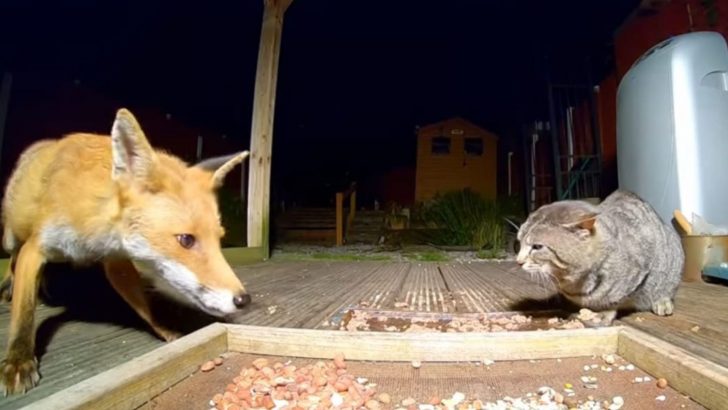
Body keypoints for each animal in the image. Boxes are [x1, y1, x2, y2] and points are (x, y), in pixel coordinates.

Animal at [0, 109, 253, 394]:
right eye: (186, 240)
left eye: (219, 239)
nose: (243, 300)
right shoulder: (36, 247)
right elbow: (24, 313)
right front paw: (18, 360)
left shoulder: (116, 261)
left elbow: (144, 308)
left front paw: (169, 331)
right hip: (12, 237)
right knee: (13, 258)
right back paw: (10, 286)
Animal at [516, 191, 684, 322]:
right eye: (519, 242)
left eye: (537, 247)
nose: (518, 261)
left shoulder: (640, 271)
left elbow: (614, 299)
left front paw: (603, 312)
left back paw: (662, 301)